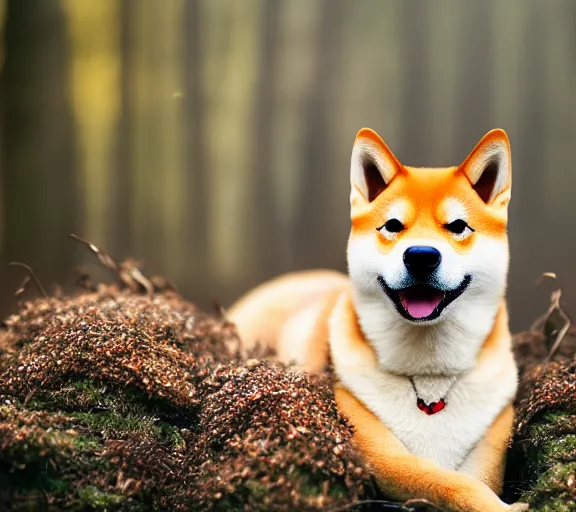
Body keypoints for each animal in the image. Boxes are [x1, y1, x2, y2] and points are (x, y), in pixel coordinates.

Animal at [228, 129, 528, 512]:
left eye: (458, 226)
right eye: (393, 226)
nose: (421, 256)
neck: (429, 377)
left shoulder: (493, 436)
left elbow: (480, 479)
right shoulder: (374, 446)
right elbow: (448, 482)